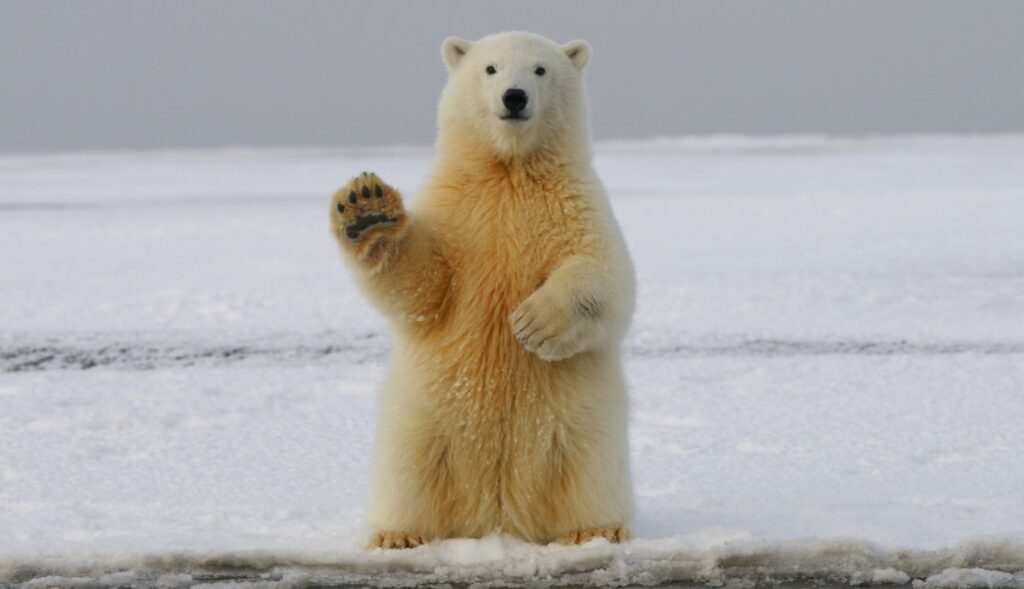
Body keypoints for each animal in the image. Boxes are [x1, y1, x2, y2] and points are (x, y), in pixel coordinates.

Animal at [329, 31, 636, 548]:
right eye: (490, 68)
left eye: (540, 69)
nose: (514, 97)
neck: (508, 171)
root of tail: (497, 517)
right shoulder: (457, 211)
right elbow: (424, 286)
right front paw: (367, 210)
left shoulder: (576, 204)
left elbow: (606, 275)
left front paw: (533, 323)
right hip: (422, 420)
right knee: (407, 472)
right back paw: (398, 535)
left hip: (582, 423)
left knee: (590, 470)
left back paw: (596, 530)